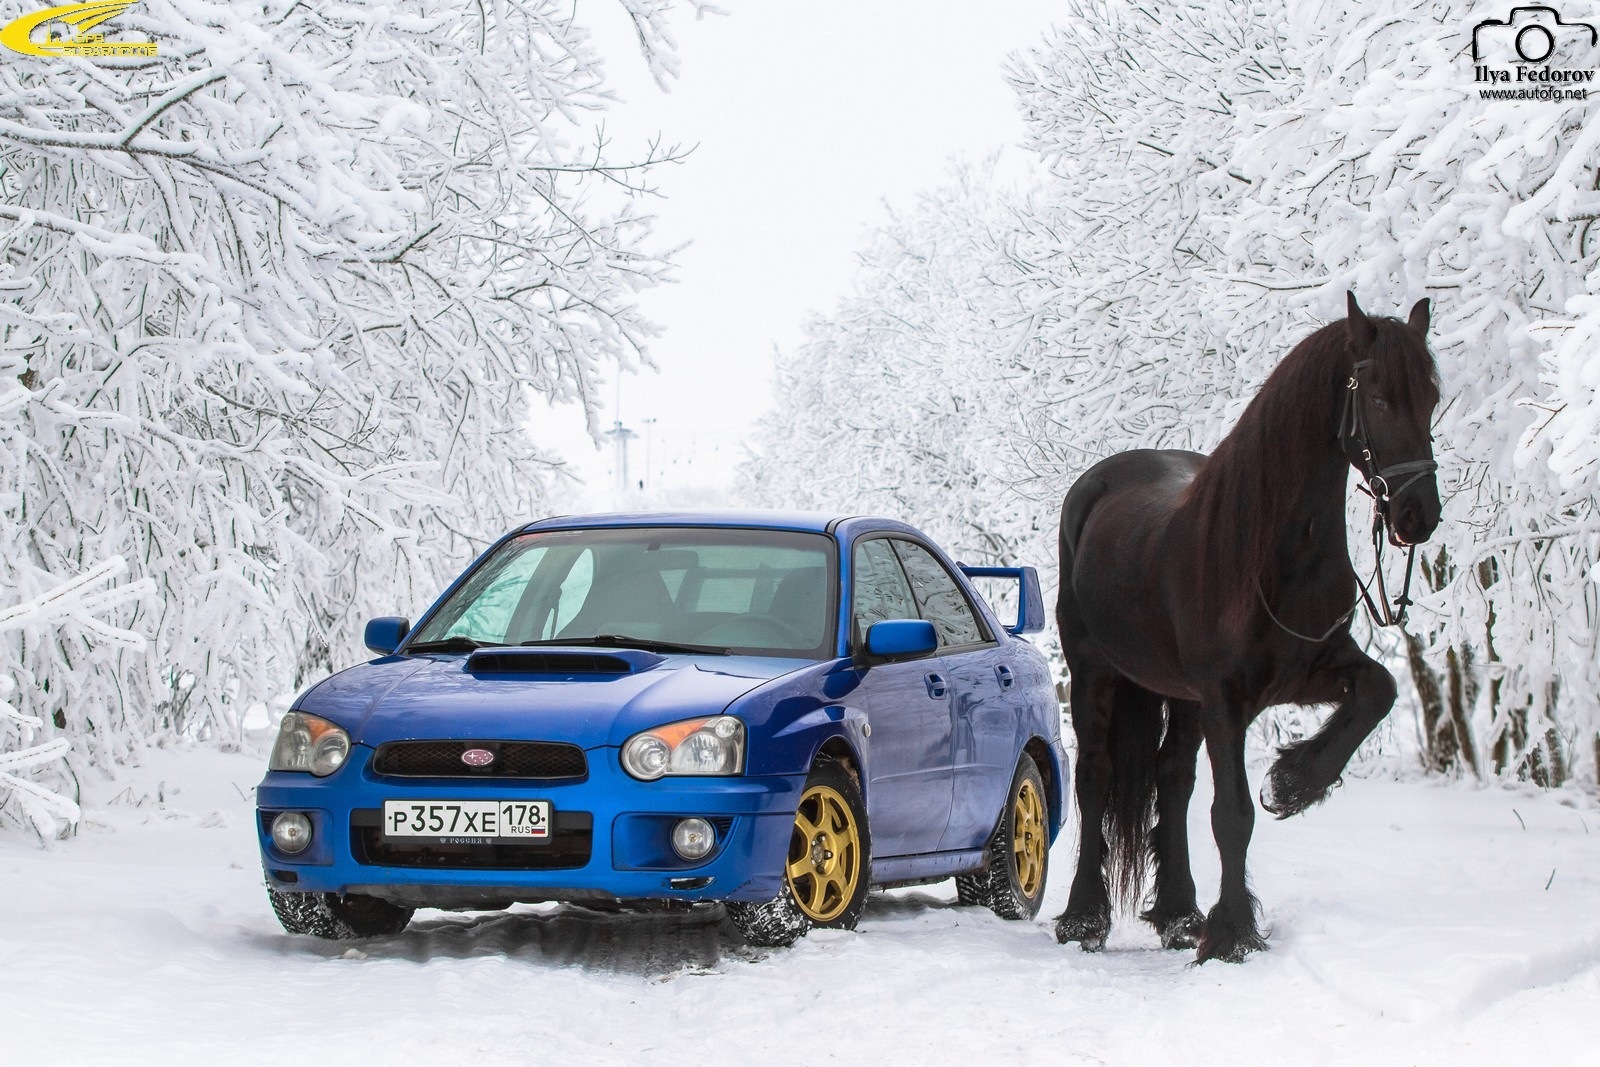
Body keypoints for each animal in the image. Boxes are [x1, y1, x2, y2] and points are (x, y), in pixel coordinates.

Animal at [1056, 295, 1446, 966]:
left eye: (1431, 397)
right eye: (1377, 395)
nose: (1419, 514)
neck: (1277, 552)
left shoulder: (1309, 671)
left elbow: (1380, 691)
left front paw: (1293, 783)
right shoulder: (1225, 697)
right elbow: (1232, 814)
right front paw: (1232, 934)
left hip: (1180, 697)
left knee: (1172, 779)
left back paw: (1178, 914)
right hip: (1093, 674)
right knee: (1096, 778)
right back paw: (1085, 918)